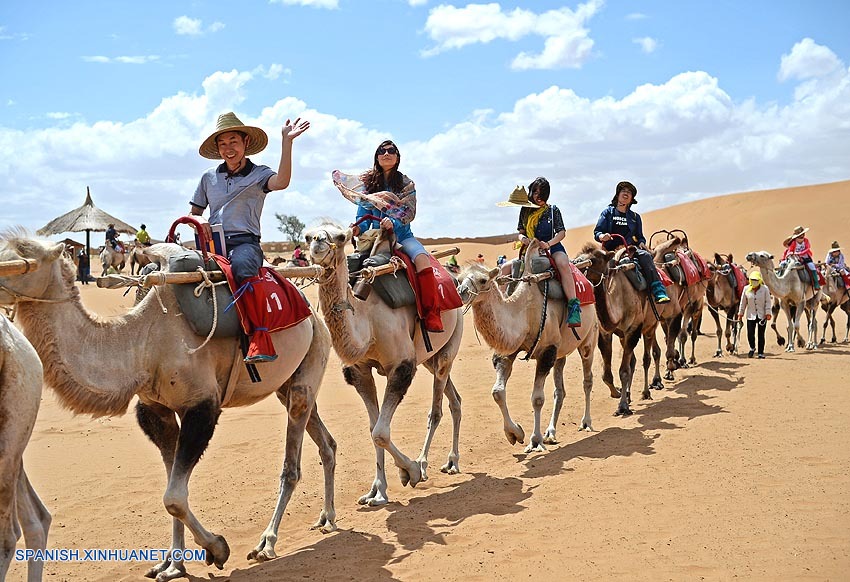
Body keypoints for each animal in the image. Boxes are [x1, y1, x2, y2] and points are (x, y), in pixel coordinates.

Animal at [0, 233, 338, 582]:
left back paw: (267, 543)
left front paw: (217, 549)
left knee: (292, 465)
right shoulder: (155, 410)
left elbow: (173, 497)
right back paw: (327, 518)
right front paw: (173, 564)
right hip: (290, 382)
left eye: (22, 258)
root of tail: (312, 313)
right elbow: (171, 487)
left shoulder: (202, 407)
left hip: (311, 361)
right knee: (325, 441)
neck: (143, 343)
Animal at [304, 222, 464, 506]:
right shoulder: (359, 372)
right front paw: (377, 491)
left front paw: (409, 471)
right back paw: (451, 461)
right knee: (453, 399)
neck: (366, 321)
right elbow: (373, 428)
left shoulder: (401, 366)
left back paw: (427, 464)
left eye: (341, 237)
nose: (318, 244)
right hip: (429, 358)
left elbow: (380, 432)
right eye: (307, 235)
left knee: (436, 410)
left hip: (450, 345)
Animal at [458, 242, 596, 452]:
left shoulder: (547, 351)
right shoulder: (509, 351)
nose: (461, 292)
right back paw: (551, 432)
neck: (523, 311)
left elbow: (537, 399)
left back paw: (586, 422)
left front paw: (535, 440)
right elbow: (497, 392)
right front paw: (515, 433)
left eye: (483, 280)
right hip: (561, 352)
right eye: (458, 279)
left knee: (587, 379)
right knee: (560, 390)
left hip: (588, 339)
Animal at [572, 243, 664, 420]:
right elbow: (607, 374)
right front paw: (618, 394)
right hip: (625, 336)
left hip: (650, 325)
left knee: (647, 357)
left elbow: (624, 371)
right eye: (577, 257)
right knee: (633, 360)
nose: (574, 264)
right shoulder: (606, 333)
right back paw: (628, 394)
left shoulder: (633, 330)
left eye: (594, 260)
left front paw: (622, 407)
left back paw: (646, 391)